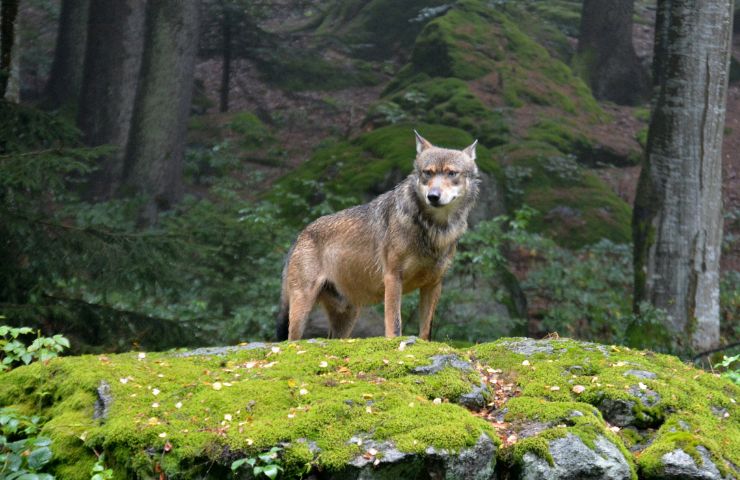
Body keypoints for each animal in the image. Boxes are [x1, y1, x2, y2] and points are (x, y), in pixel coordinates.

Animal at [274, 131, 480, 342]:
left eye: (451, 173)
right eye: (427, 173)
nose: (433, 196)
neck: (433, 228)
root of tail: (300, 235)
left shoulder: (433, 284)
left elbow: (425, 332)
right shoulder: (392, 278)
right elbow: (394, 324)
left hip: (347, 317)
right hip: (302, 309)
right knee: (291, 340)